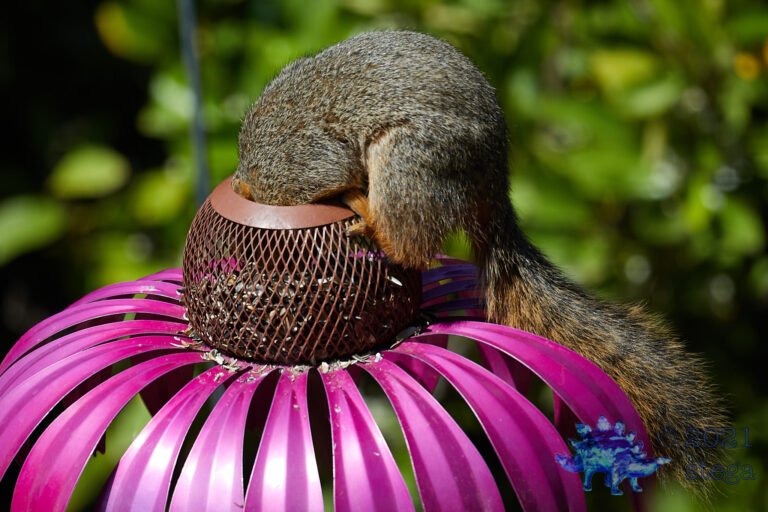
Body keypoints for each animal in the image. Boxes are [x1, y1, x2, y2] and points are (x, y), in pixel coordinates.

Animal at [233, 30, 727, 494]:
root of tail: (491, 187)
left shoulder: (301, 162)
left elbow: (328, 172)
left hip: (411, 162)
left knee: (411, 244)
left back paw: (371, 221)